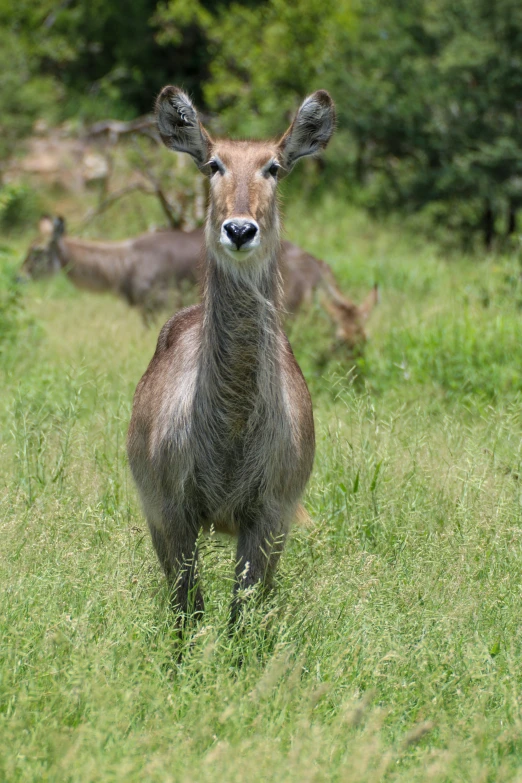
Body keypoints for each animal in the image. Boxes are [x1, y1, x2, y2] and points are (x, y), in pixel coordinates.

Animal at [128, 84, 336, 624]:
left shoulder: (270, 518)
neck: (232, 434)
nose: (239, 230)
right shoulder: (171, 513)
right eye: (213, 164)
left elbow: (241, 616)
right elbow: (189, 609)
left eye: (274, 167)